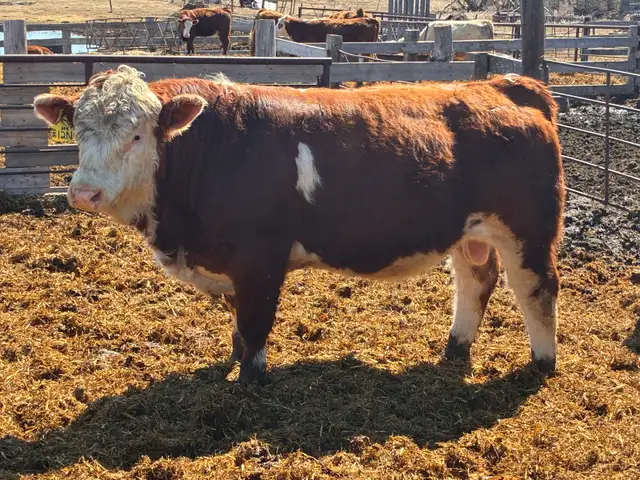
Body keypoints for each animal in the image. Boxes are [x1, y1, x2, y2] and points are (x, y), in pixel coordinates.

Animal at [33, 66, 565, 385]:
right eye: (77, 131)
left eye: (138, 135)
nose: (83, 192)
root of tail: (503, 84)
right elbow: (238, 322)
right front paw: (234, 355)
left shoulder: (260, 258)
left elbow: (255, 323)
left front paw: (250, 379)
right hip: (469, 231)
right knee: (476, 281)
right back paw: (455, 348)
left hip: (528, 229)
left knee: (536, 288)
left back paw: (542, 362)